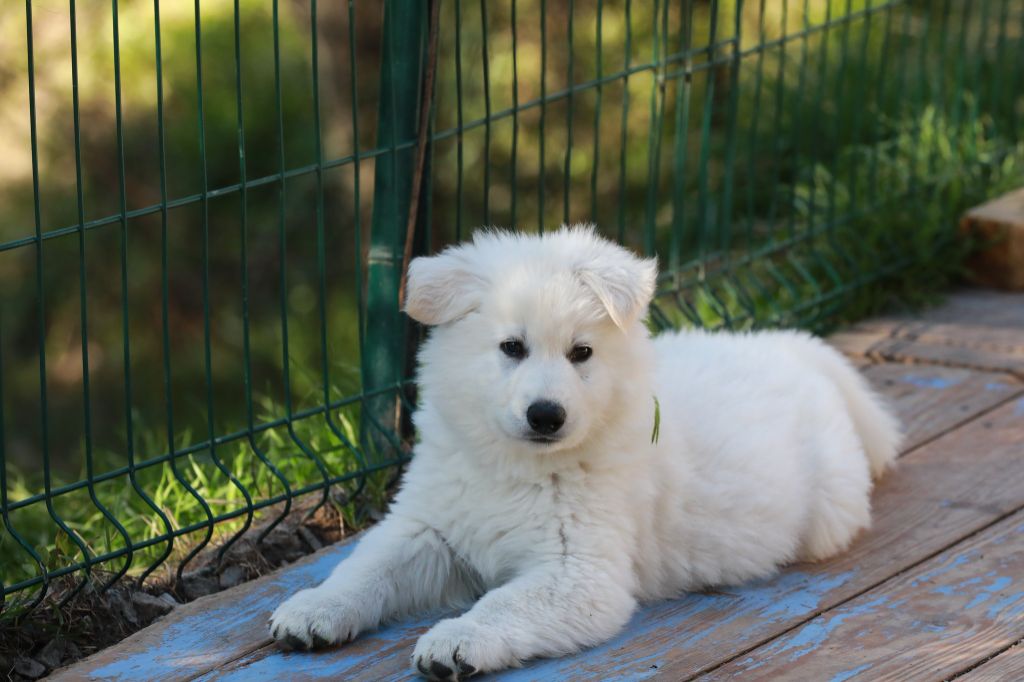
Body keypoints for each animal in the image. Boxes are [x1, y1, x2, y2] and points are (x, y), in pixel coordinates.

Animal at [268, 224, 901, 675]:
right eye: (512, 347)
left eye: (581, 353)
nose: (546, 415)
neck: (516, 467)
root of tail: (792, 347)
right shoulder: (427, 527)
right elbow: (365, 567)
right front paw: (313, 609)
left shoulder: (578, 572)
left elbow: (504, 604)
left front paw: (458, 638)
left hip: (828, 512)